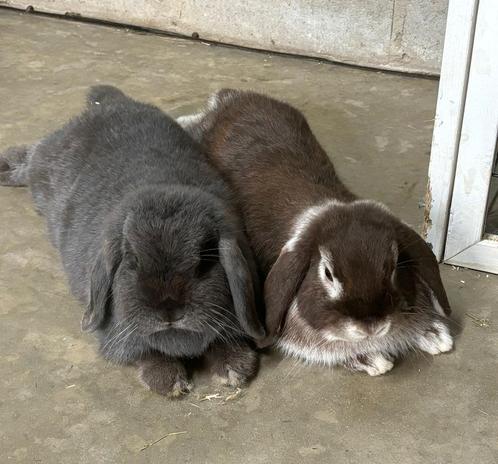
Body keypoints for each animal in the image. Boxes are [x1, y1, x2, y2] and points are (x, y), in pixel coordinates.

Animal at [0, 86, 266, 396]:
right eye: (132, 261)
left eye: (203, 262)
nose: (169, 310)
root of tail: (110, 103)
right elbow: (145, 353)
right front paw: (169, 381)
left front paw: (234, 368)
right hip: (45, 164)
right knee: (31, 155)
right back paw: (4, 166)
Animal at [177, 89, 454, 376]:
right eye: (328, 274)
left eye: (393, 266)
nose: (371, 327)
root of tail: (228, 100)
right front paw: (374, 360)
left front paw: (434, 335)